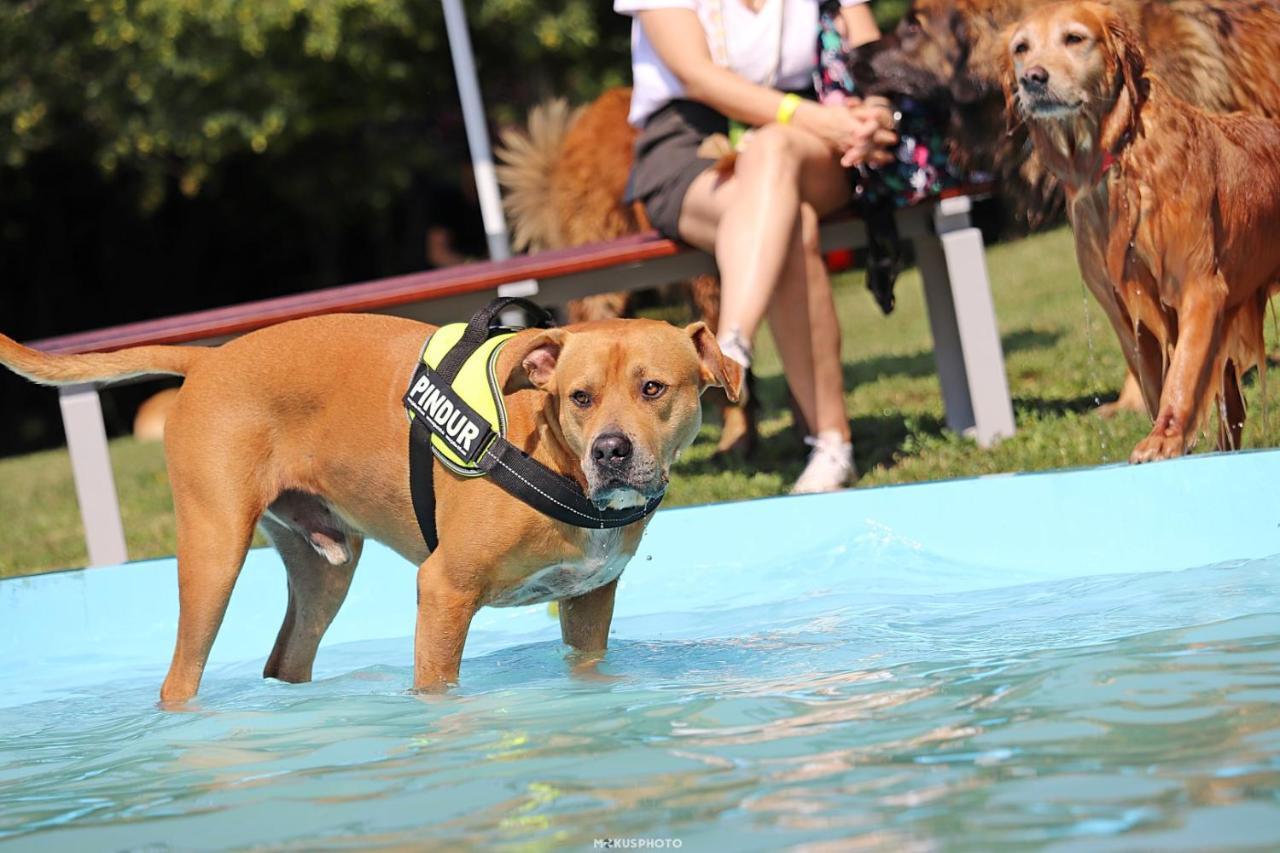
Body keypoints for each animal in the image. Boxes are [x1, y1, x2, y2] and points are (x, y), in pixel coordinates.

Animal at [0, 312, 742, 696]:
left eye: (652, 388)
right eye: (579, 397)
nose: (611, 451)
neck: (551, 450)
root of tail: (207, 359)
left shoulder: (588, 603)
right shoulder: (445, 589)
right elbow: (437, 687)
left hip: (324, 573)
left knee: (287, 658)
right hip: (212, 558)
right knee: (180, 678)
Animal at [1003, 3, 1280, 461]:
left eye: (1074, 38)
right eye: (1021, 48)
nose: (1033, 78)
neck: (1120, 158)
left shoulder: (1200, 288)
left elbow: (1182, 374)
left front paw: (1163, 438)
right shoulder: (1122, 308)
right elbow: (1155, 381)